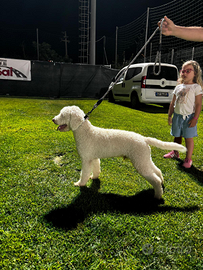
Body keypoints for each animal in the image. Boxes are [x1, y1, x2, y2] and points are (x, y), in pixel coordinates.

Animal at [52, 106, 187, 199]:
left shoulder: (86, 160)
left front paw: (80, 184)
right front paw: (94, 177)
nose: (53, 119)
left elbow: (84, 173)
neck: (85, 132)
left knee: (155, 179)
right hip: (144, 159)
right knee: (157, 171)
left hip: (140, 162)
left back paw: (158, 195)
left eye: (62, 115)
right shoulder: (93, 158)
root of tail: (144, 139)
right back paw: (162, 182)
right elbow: (96, 168)